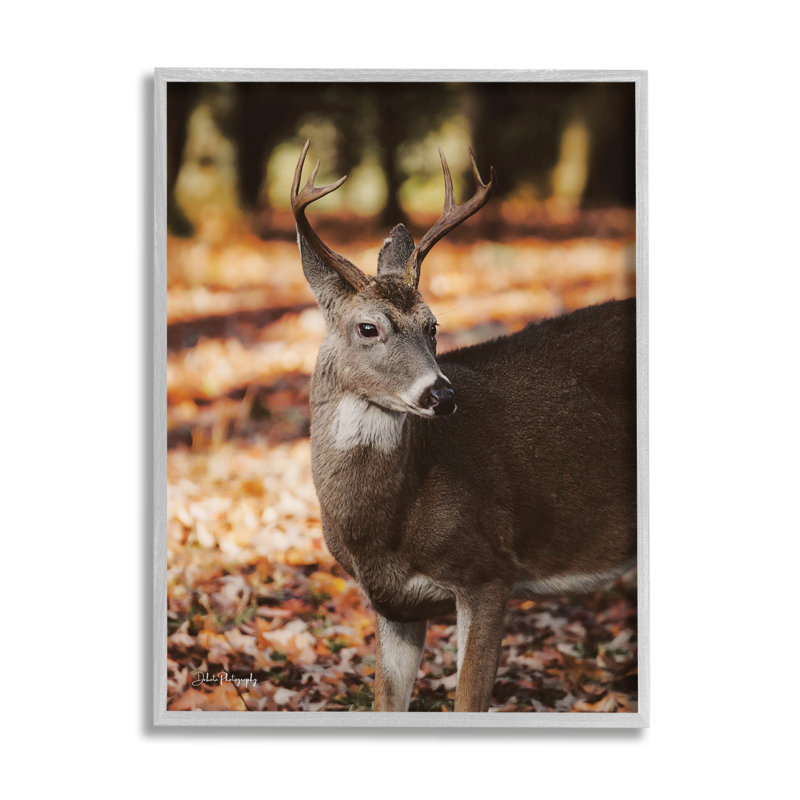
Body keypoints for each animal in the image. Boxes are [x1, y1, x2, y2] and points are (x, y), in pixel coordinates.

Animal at [291, 140, 636, 712]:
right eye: (368, 327)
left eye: (433, 326)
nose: (443, 395)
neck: (383, 530)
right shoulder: (393, 606)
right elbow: (387, 702)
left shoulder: (489, 570)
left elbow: (469, 700)